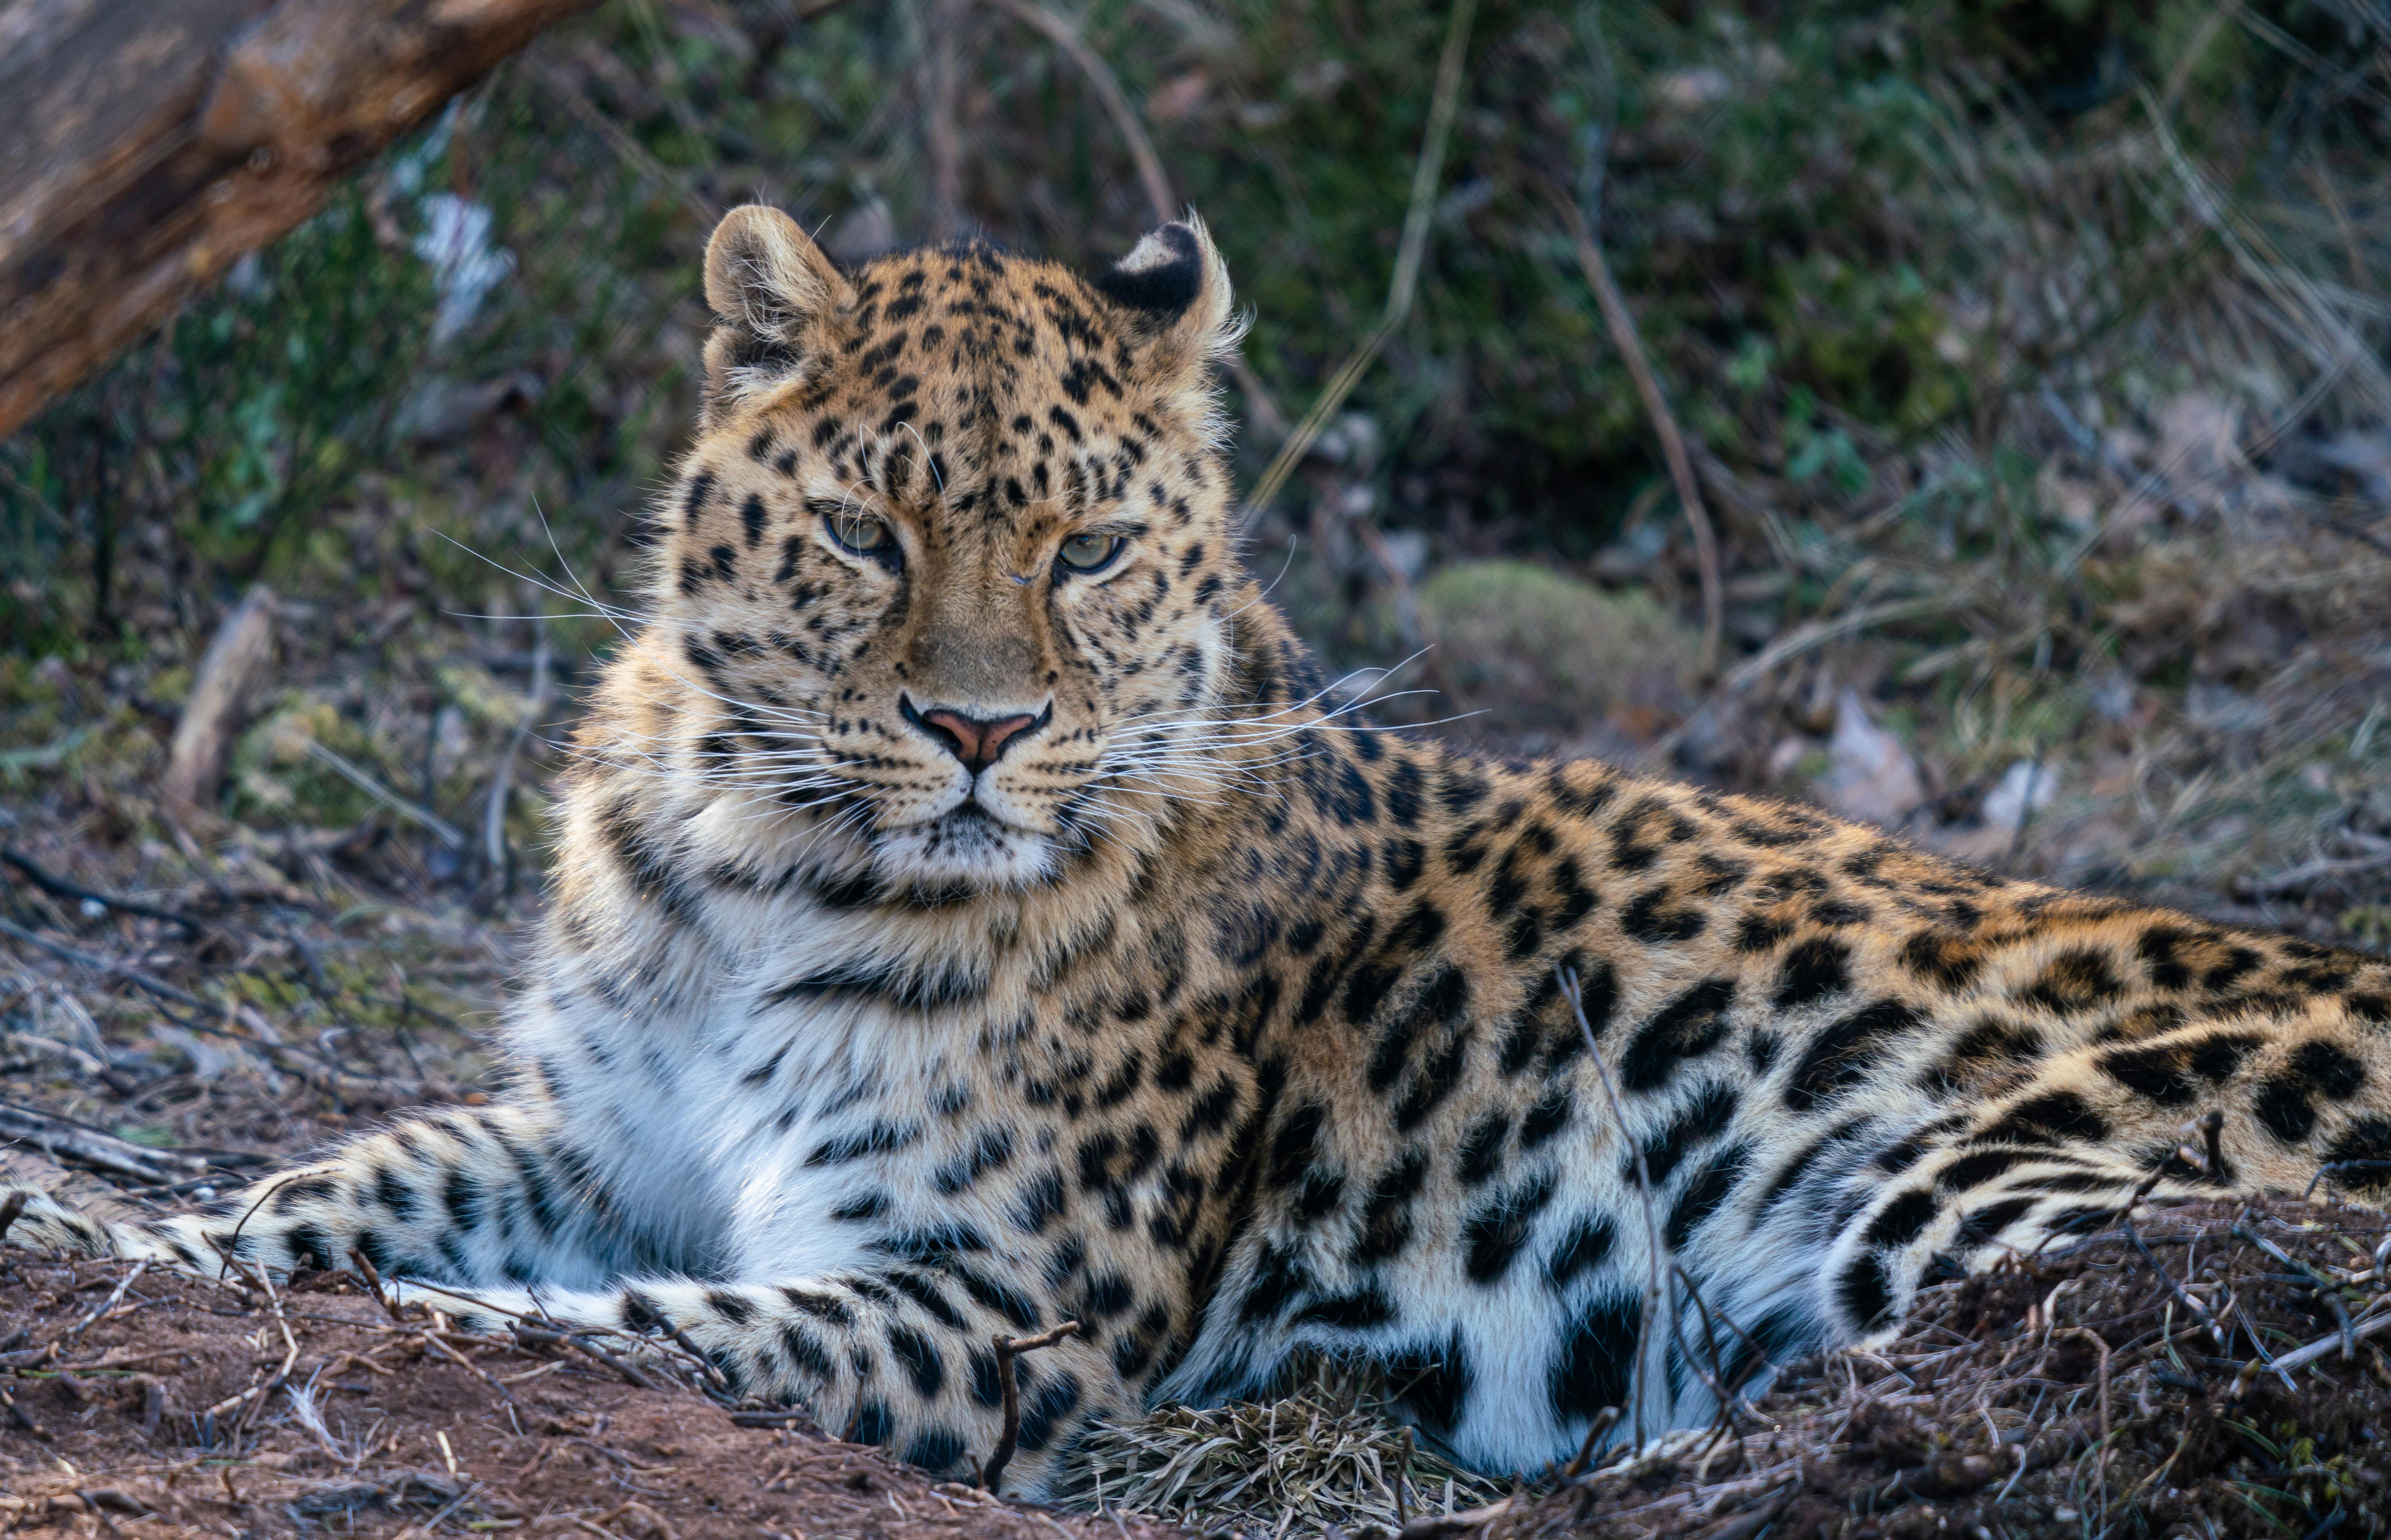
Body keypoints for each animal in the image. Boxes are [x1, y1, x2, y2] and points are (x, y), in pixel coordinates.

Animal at [10, 204, 2391, 1498]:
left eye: (1085, 548)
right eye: (868, 532)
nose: (978, 731)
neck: (757, 854)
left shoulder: (998, 1306)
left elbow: (661, 1325)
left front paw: (438, 1326)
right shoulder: (598, 1131)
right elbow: (341, 1181)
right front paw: (114, 1231)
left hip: (1960, 1185)